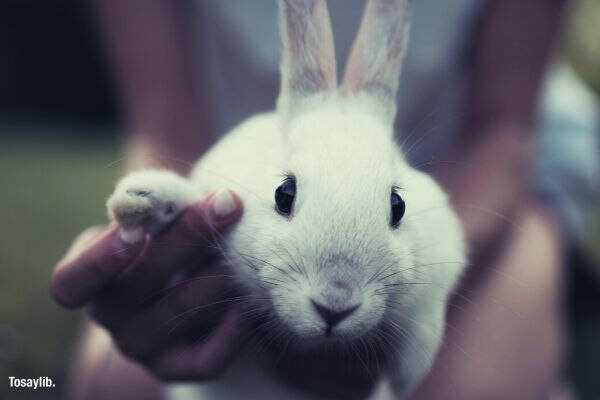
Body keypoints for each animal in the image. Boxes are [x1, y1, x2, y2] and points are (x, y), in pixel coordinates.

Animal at [106, 0, 464, 396]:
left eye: (397, 205)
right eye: (284, 193)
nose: (334, 305)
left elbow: (425, 321)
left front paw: (407, 375)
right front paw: (141, 202)